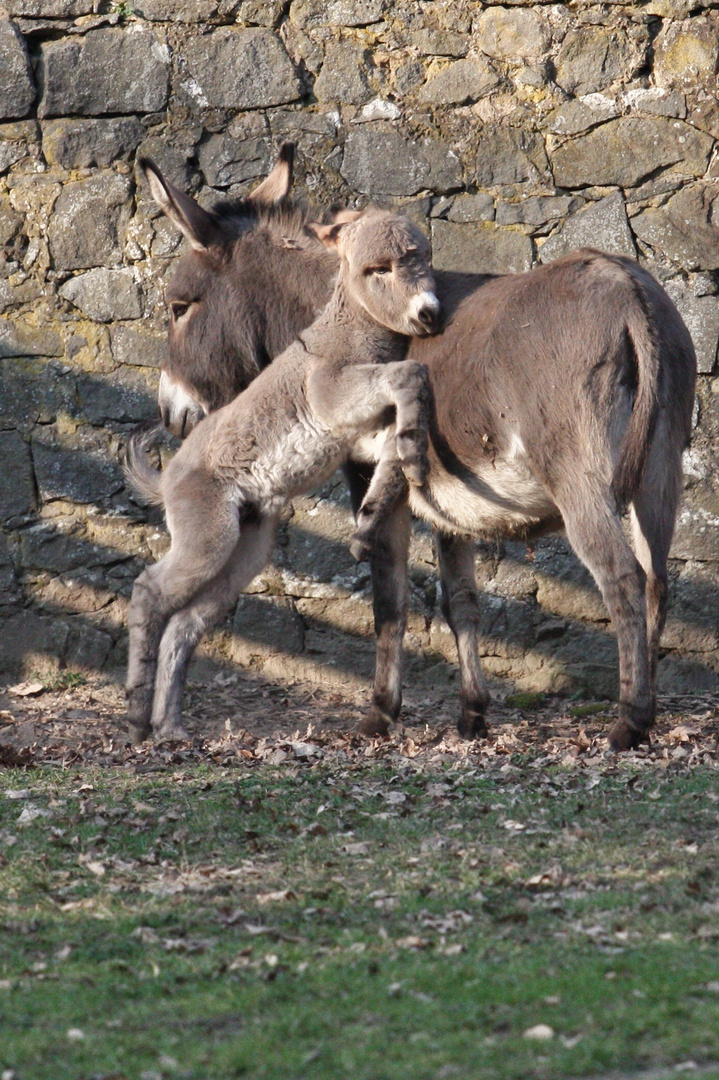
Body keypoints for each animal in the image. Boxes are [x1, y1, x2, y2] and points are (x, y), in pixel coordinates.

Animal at [123, 208, 436, 743]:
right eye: (378, 269)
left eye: (425, 259)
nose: (431, 313)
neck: (345, 329)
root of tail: (168, 481)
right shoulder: (333, 395)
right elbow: (407, 373)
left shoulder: (360, 434)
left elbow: (397, 432)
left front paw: (376, 511)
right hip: (209, 540)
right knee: (149, 594)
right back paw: (137, 718)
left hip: (245, 550)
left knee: (185, 622)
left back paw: (171, 726)